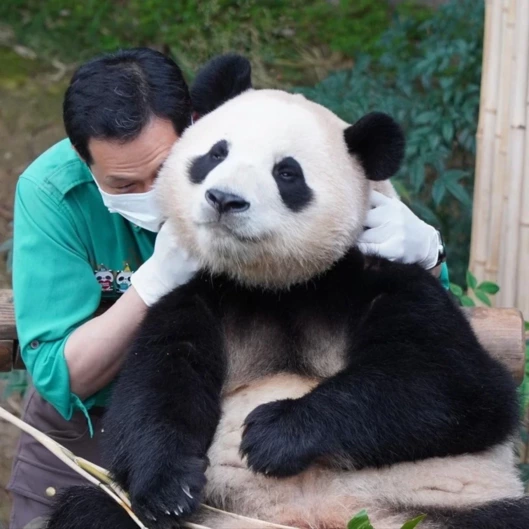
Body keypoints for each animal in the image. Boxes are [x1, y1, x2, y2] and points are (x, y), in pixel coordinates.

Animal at [46, 53, 528, 528]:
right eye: (216, 153)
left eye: (286, 173)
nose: (224, 199)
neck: (277, 284)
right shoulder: (199, 291)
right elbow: (160, 379)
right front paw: (170, 488)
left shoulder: (380, 276)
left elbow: (456, 385)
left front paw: (272, 433)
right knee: (92, 509)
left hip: (443, 505)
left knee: (497, 514)